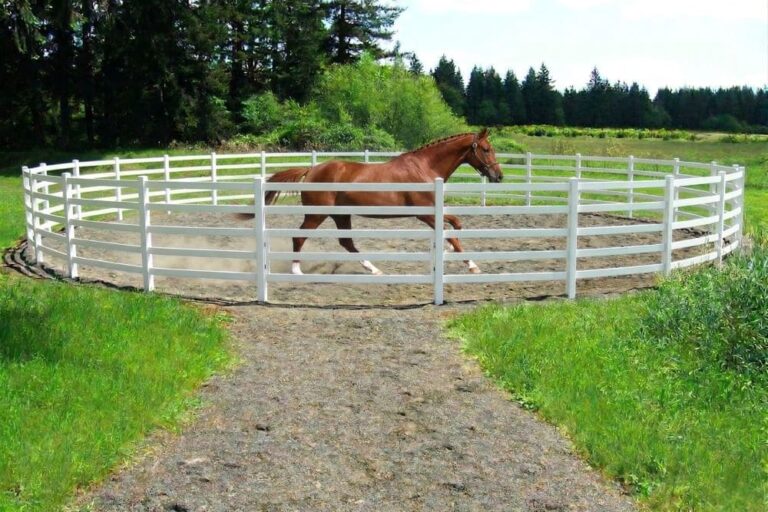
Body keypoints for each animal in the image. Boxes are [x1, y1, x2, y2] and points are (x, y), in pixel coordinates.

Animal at [263, 128, 502, 275]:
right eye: (486, 149)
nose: (498, 176)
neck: (425, 168)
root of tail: (311, 170)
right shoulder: (426, 214)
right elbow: (451, 234)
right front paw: (472, 266)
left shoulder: (434, 212)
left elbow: (456, 225)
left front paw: (449, 251)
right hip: (316, 215)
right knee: (299, 237)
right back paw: (296, 270)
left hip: (341, 215)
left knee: (346, 242)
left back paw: (374, 269)